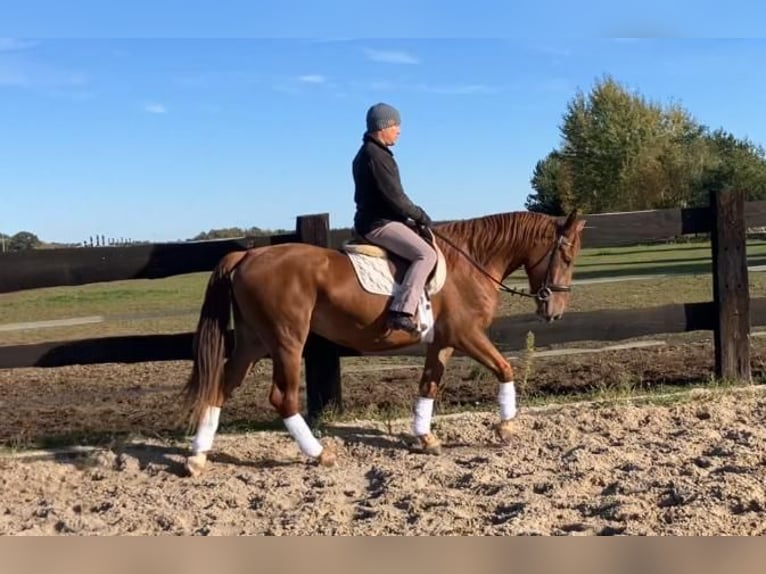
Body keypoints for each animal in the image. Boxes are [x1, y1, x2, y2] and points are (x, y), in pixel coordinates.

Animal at [181, 209, 586, 476]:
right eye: (566, 256)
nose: (555, 311)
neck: (471, 262)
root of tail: (248, 254)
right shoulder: (467, 335)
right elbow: (505, 368)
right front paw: (506, 427)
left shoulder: (443, 341)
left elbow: (428, 386)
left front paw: (425, 438)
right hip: (286, 340)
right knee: (283, 398)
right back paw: (320, 454)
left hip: (253, 341)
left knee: (221, 388)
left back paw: (198, 457)